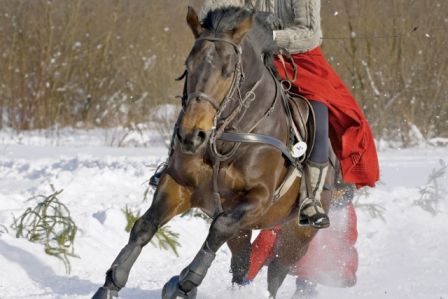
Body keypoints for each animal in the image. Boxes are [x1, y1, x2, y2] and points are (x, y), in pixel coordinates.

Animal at [92, 6, 336, 299]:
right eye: (188, 67)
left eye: (228, 71)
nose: (190, 135)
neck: (224, 137)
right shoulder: (179, 184)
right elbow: (144, 226)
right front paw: (111, 283)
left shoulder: (259, 198)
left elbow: (219, 226)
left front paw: (184, 283)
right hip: (245, 232)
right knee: (242, 265)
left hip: (296, 235)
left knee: (276, 272)